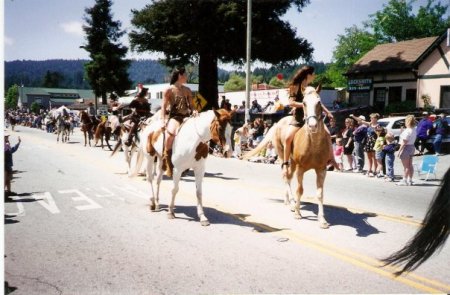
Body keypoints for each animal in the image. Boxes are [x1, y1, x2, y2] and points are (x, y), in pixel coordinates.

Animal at [246, 86, 330, 230]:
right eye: (304, 103)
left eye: (319, 102)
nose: (312, 125)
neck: (313, 144)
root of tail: (276, 124)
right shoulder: (301, 168)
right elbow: (300, 190)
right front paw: (297, 212)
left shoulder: (321, 169)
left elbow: (320, 194)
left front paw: (322, 220)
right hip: (283, 155)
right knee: (285, 175)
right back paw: (291, 203)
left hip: (293, 162)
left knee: (288, 177)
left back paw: (287, 200)